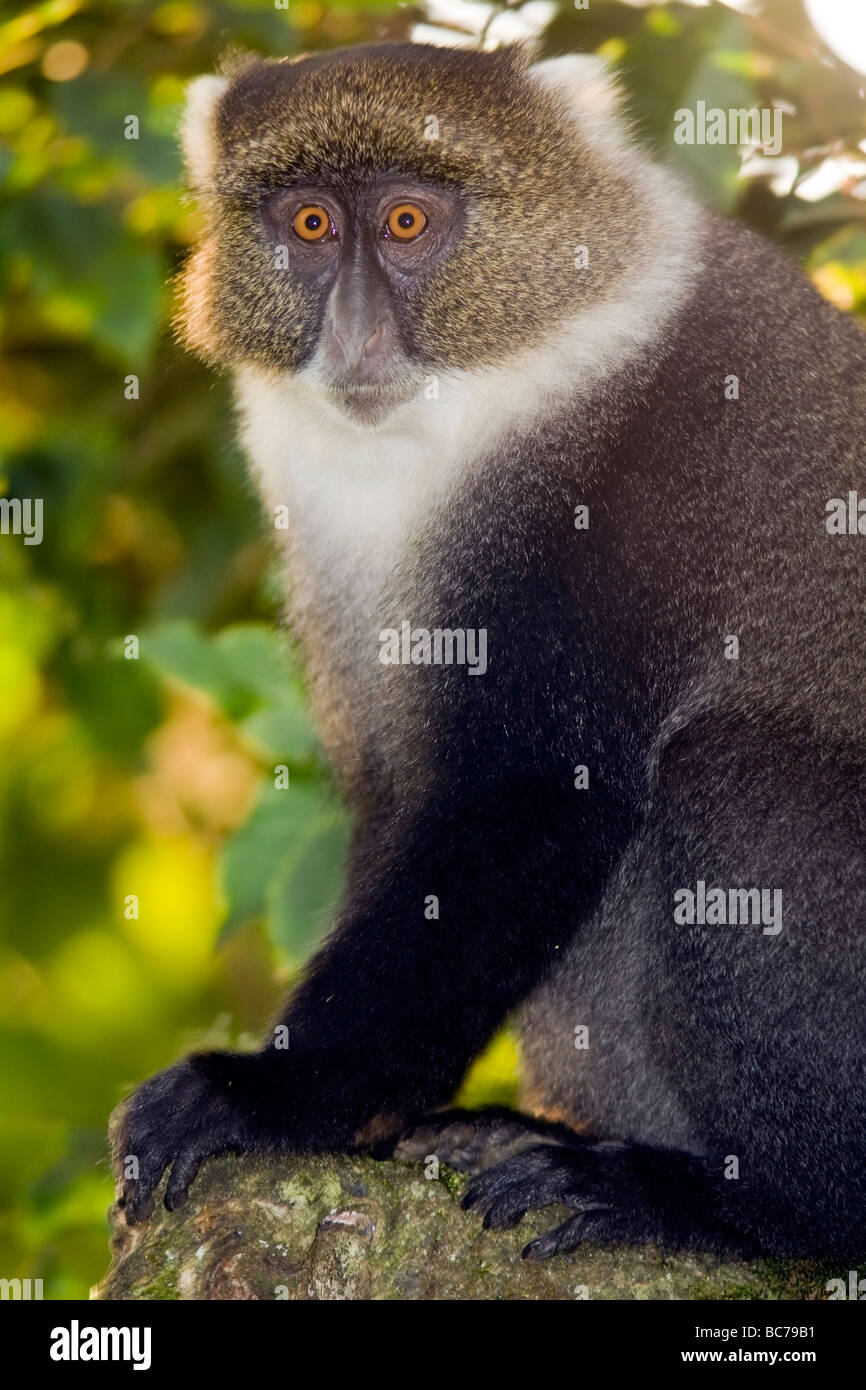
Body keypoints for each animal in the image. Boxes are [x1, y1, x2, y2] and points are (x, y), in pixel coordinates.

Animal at [113, 40, 866, 1265]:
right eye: (310, 224)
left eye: (408, 222)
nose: (357, 332)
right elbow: (403, 799)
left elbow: (526, 800)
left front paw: (267, 1098)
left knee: (734, 778)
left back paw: (746, 1208)